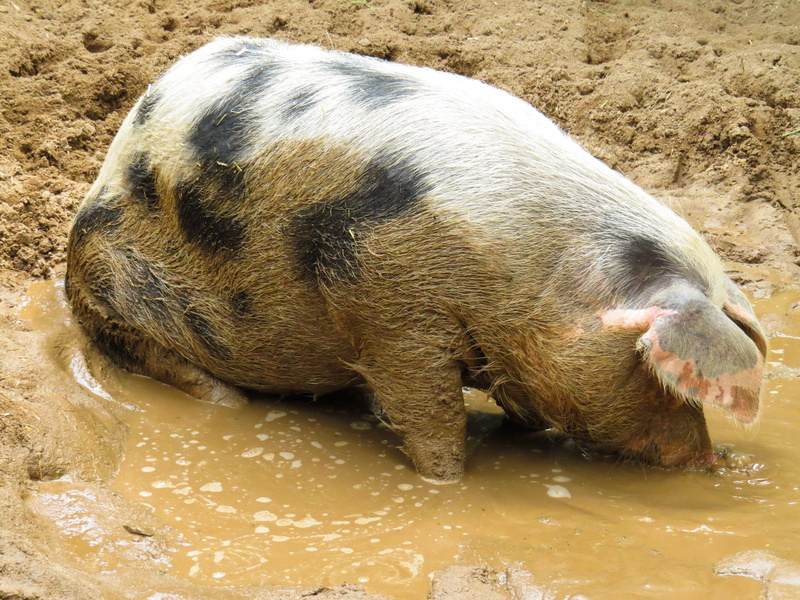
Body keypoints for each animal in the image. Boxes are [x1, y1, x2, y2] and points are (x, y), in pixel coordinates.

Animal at [64, 36, 767, 483]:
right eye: (656, 377)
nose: (714, 461)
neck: (540, 275)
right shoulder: (386, 304)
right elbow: (430, 415)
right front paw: (447, 486)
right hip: (108, 283)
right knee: (169, 365)